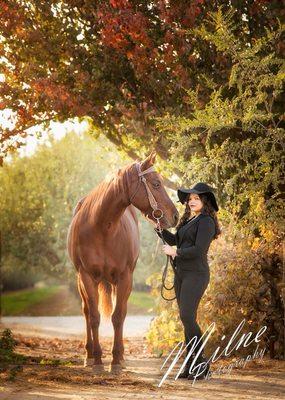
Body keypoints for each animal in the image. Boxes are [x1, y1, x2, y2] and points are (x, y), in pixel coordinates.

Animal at [67, 150, 178, 372]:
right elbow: (94, 317)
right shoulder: (86, 276)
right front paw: (98, 360)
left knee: (121, 311)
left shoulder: (125, 277)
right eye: (156, 184)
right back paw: (89, 355)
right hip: (82, 281)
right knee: (86, 312)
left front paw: (116, 360)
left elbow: (118, 316)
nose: (176, 216)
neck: (101, 227)